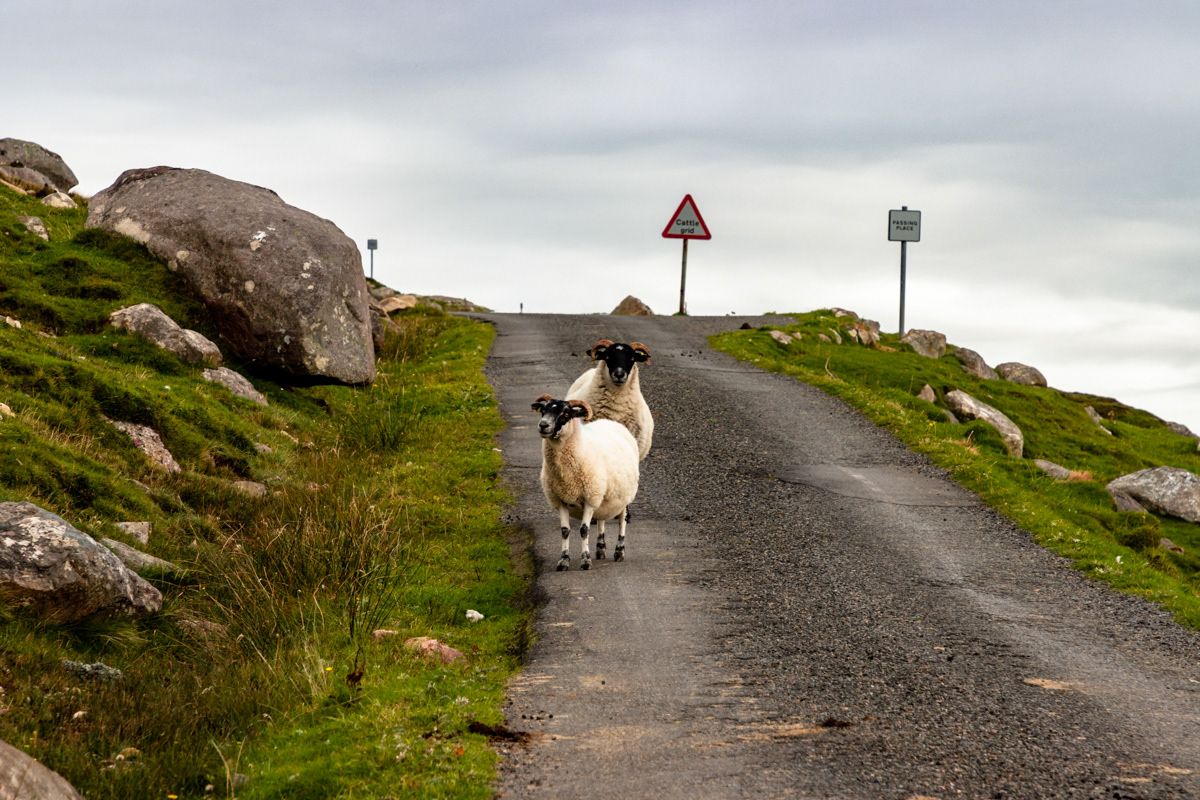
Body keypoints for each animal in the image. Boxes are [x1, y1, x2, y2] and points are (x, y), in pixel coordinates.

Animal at [531, 395, 640, 571]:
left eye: (566, 414)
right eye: (543, 411)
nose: (543, 425)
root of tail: (611, 422)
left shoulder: (589, 499)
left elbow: (584, 530)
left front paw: (585, 561)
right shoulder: (561, 500)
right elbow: (564, 531)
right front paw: (564, 561)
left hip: (623, 497)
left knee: (621, 522)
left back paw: (619, 552)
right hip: (601, 496)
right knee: (601, 519)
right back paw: (600, 549)